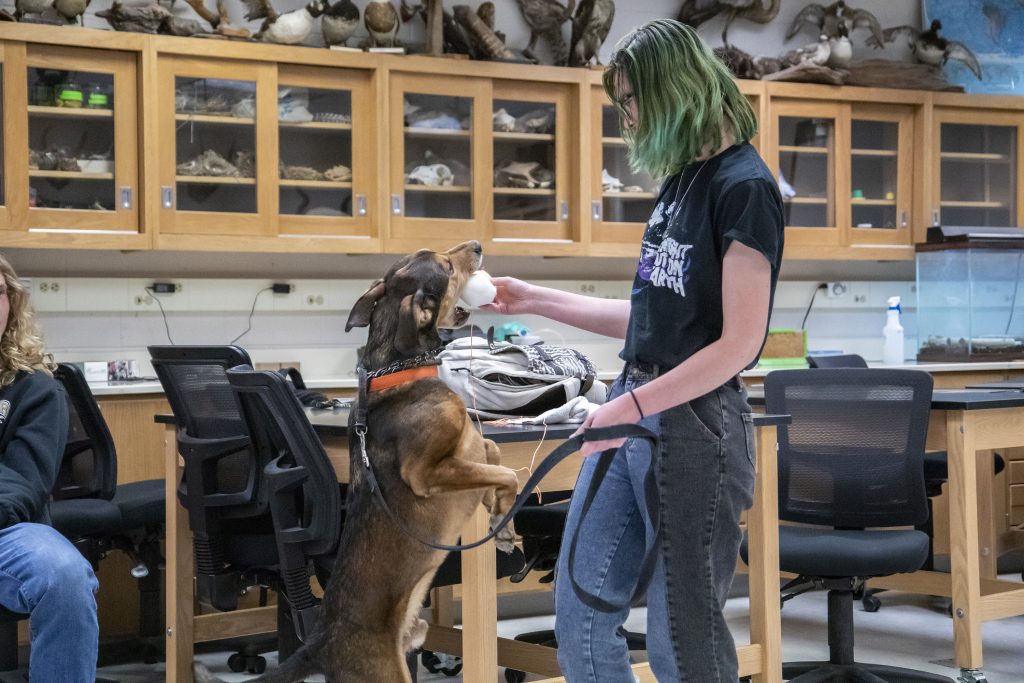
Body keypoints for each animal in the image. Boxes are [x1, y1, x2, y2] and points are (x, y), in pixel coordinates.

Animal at [194, 241, 520, 683]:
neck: (400, 370)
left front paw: (501, 519)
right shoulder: (425, 472)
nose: (478, 245)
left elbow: (497, 459)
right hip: (385, 674)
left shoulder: (472, 447)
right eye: (448, 266)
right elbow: (508, 472)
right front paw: (501, 516)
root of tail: (319, 643)